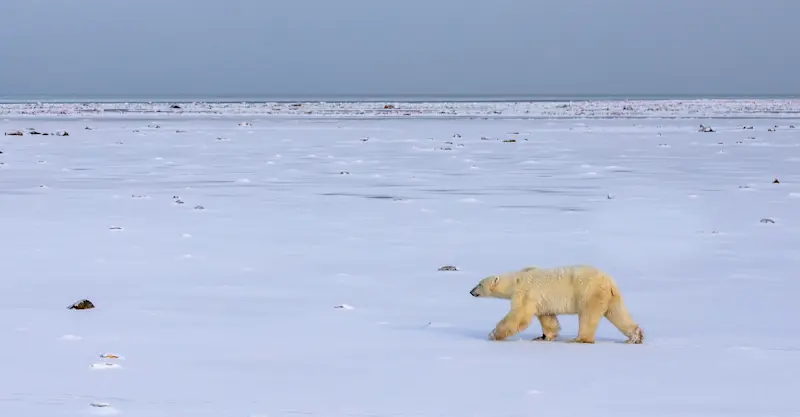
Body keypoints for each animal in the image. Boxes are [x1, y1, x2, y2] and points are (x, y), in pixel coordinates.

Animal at [469, 265, 644, 344]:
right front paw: (543, 337)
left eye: (479, 284)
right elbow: (547, 317)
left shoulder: (525, 293)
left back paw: (578, 339)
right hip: (611, 297)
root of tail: (609, 282)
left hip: (589, 293)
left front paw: (493, 334)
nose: (471, 291)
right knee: (618, 313)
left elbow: (519, 315)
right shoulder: (541, 301)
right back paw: (636, 337)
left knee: (588, 316)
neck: (516, 280)